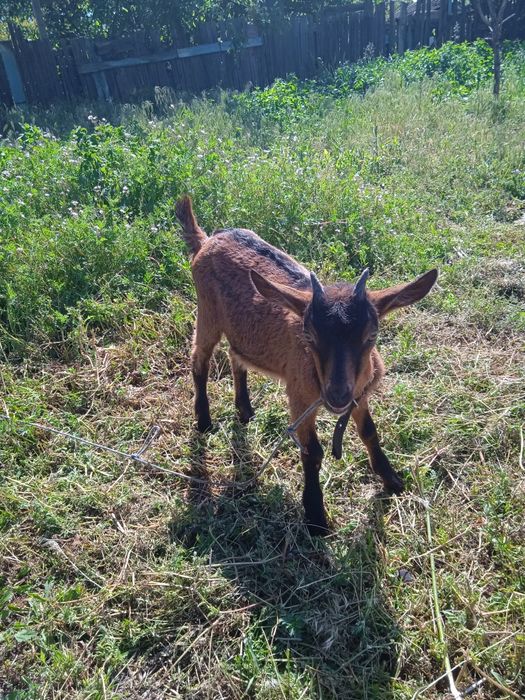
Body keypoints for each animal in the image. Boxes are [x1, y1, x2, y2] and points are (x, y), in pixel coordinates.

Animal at [176, 195, 437, 534]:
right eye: (309, 336)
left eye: (371, 336)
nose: (336, 395)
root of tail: (207, 240)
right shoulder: (300, 396)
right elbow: (312, 451)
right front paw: (315, 516)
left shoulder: (359, 395)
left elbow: (369, 432)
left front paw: (392, 480)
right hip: (207, 313)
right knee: (200, 359)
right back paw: (204, 421)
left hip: (239, 329)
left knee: (236, 355)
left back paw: (245, 410)